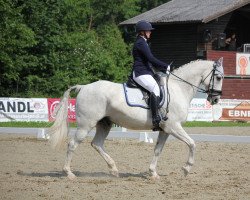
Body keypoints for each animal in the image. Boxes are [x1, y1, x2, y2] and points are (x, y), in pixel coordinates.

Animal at [47, 57, 224, 180]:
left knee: (97, 144)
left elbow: (158, 150)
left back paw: (114, 169)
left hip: (105, 124)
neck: (179, 88)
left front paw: (153, 173)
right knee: (72, 144)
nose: (215, 99)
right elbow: (192, 144)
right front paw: (186, 169)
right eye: (219, 77)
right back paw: (69, 173)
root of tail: (83, 87)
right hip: (86, 125)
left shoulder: (165, 130)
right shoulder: (174, 127)